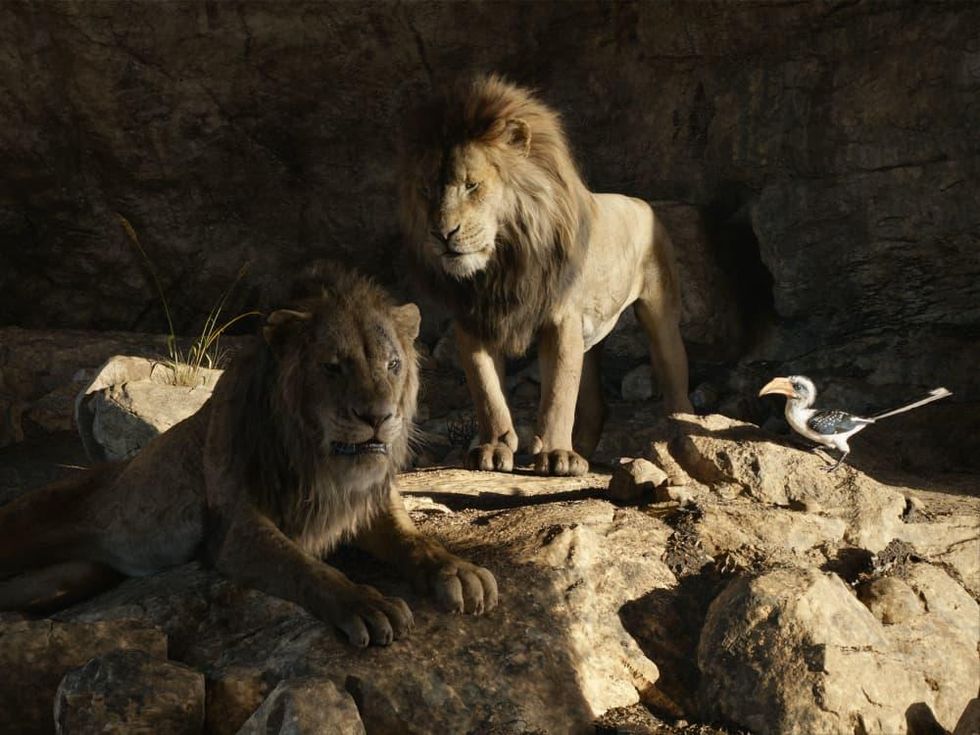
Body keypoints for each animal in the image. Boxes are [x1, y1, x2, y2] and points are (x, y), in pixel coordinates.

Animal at [0, 263, 497, 647]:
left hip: (71, 577)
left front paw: (458, 571)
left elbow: (415, 541)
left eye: (393, 365)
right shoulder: (235, 528)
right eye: (332, 367)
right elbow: (303, 568)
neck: (321, 460)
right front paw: (364, 602)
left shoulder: (368, 502)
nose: (377, 417)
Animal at [399, 74, 693, 477]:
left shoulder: (562, 320)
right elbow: (487, 390)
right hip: (590, 336)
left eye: (472, 185)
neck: (504, 262)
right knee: (594, 402)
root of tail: (641, 201)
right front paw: (493, 448)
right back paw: (582, 450)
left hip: (660, 315)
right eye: (426, 190)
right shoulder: (473, 320)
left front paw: (556, 456)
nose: (442, 233)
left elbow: (557, 395)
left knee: (675, 380)